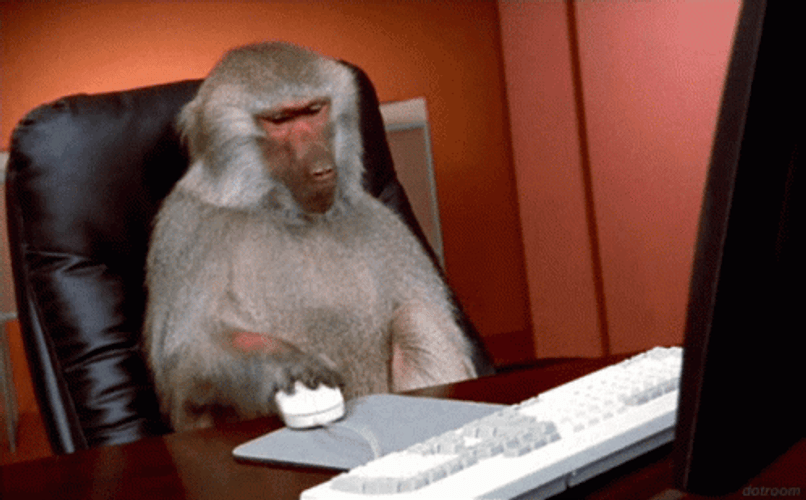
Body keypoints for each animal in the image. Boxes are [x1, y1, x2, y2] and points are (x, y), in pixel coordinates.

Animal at [143, 42, 479, 432]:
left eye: (314, 110)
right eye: (280, 120)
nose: (322, 170)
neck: (284, 212)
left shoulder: (385, 227)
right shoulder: (187, 230)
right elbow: (185, 363)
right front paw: (284, 361)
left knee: (418, 320)